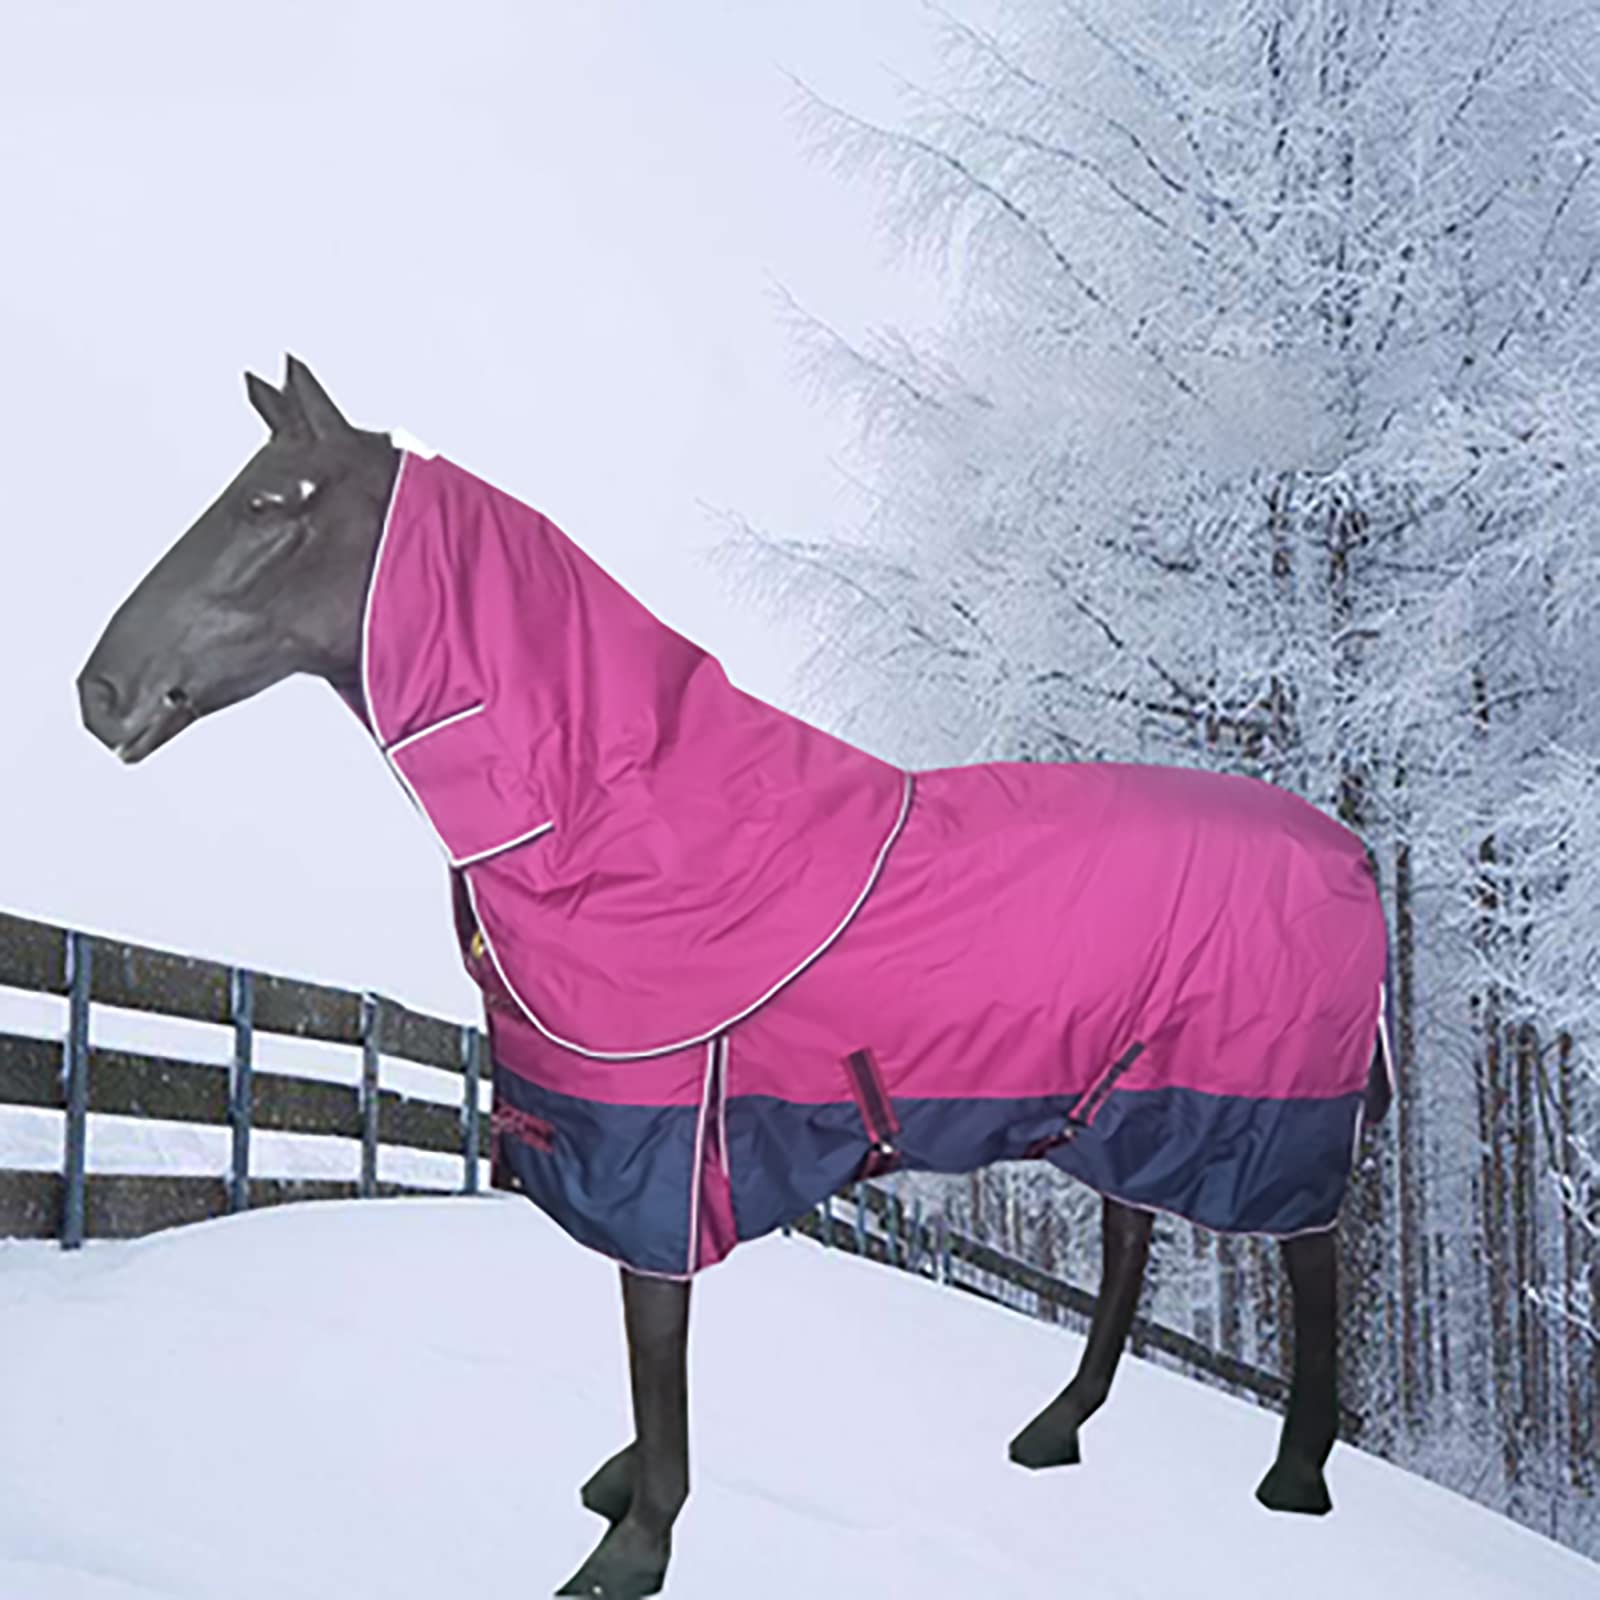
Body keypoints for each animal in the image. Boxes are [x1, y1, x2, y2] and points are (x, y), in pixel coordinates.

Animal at [79, 356, 1394, 1598]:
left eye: (269, 503)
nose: (99, 691)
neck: (621, 810)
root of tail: (1347, 850)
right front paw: (622, 1495)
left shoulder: (653, 1127)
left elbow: (655, 1340)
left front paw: (633, 1544)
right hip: (1123, 1105)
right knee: (1128, 1240)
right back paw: (1054, 1428)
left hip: (1262, 1112)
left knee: (1309, 1261)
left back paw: (1294, 1478)